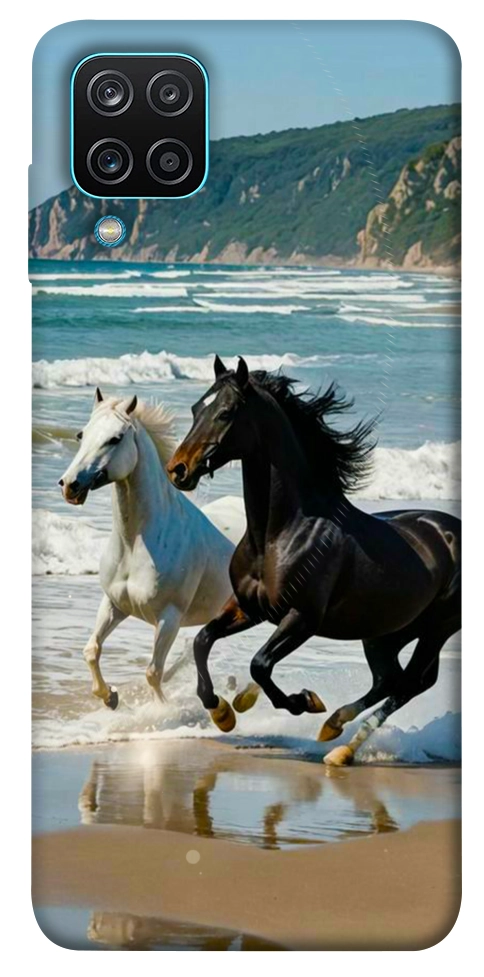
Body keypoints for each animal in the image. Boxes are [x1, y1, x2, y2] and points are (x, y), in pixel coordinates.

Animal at [59, 387, 234, 709]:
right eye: (81, 434)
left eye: (115, 438)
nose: (69, 485)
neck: (135, 544)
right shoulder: (114, 604)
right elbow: (91, 650)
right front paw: (110, 697)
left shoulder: (169, 617)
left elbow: (153, 672)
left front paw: (161, 711)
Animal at [166, 356, 461, 765]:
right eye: (197, 408)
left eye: (225, 413)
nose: (177, 469)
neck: (280, 534)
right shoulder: (248, 608)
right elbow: (202, 640)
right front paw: (223, 711)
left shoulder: (302, 618)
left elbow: (260, 664)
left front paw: (302, 701)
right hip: (386, 632)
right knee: (390, 679)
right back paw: (334, 729)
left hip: (437, 628)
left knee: (411, 683)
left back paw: (341, 746)